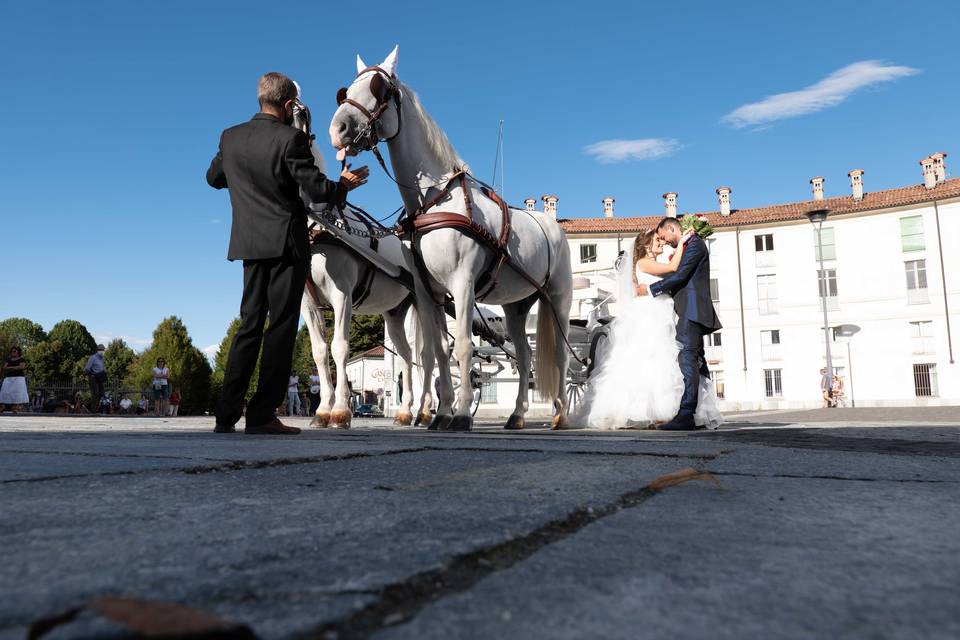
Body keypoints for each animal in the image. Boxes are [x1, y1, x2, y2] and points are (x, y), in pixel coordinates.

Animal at [290, 97, 436, 428]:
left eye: (302, 119)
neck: (320, 226)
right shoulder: (308, 303)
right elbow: (320, 353)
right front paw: (323, 410)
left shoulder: (341, 294)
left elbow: (340, 347)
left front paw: (340, 411)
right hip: (394, 313)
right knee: (406, 357)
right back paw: (406, 411)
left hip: (422, 304)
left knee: (427, 355)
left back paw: (423, 410)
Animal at [326, 47, 572, 432]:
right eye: (346, 90)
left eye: (380, 89)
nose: (337, 128)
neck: (435, 198)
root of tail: (554, 227)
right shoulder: (429, 292)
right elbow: (440, 350)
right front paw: (440, 413)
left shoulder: (462, 283)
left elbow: (464, 349)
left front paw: (461, 412)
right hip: (517, 305)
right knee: (525, 354)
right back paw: (518, 414)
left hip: (557, 299)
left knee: (560, 354)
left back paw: (561, 412)